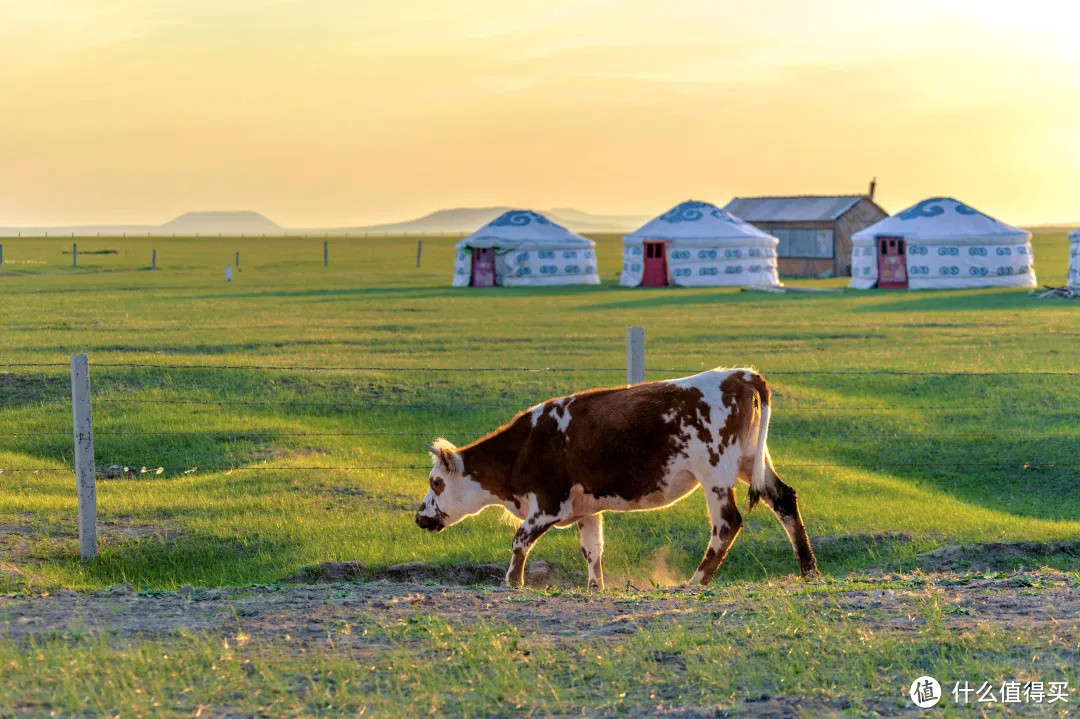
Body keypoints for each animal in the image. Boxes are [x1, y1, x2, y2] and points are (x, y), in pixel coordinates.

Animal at [414, 367, 816, 587]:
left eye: (436, 482)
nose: (420, 516)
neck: (526, 446)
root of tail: (739, 375)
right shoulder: (586, 510)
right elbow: (592, 550)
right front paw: (596, 587)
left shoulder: (548, 504)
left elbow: (519, 542)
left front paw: (513, 583)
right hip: (750, 461)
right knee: (783, 499)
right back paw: (809, 572)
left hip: (715, 474)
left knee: (727, 523)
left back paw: (695, 582)